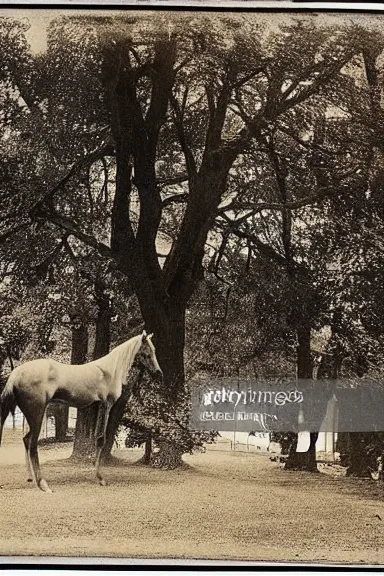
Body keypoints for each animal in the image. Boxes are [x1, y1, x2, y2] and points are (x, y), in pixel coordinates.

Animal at [0, 330, 162, 492]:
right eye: (147, 353)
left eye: (154, 351)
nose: (158, 373)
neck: (109, 371)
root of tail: (16, 373)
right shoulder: (106, 405)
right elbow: (101, 439)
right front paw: (101, 478)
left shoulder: (97, 407)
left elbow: (97, 439)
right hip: (37, 414)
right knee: (32, 444)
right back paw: (43, 484)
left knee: (26, 440)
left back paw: (31, 478)